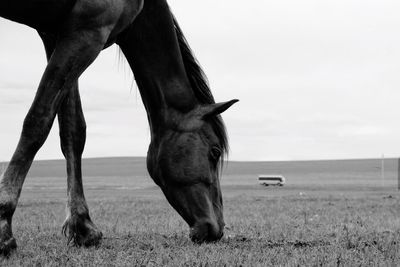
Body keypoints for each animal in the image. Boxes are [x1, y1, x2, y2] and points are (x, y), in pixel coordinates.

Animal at [0, 0, 238, 255]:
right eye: (215, 152)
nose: (218, 229)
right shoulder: (89, 30)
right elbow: (39, 120)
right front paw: (4, 226)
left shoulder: (58, 34)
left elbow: (73, 131)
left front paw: (83, 226)